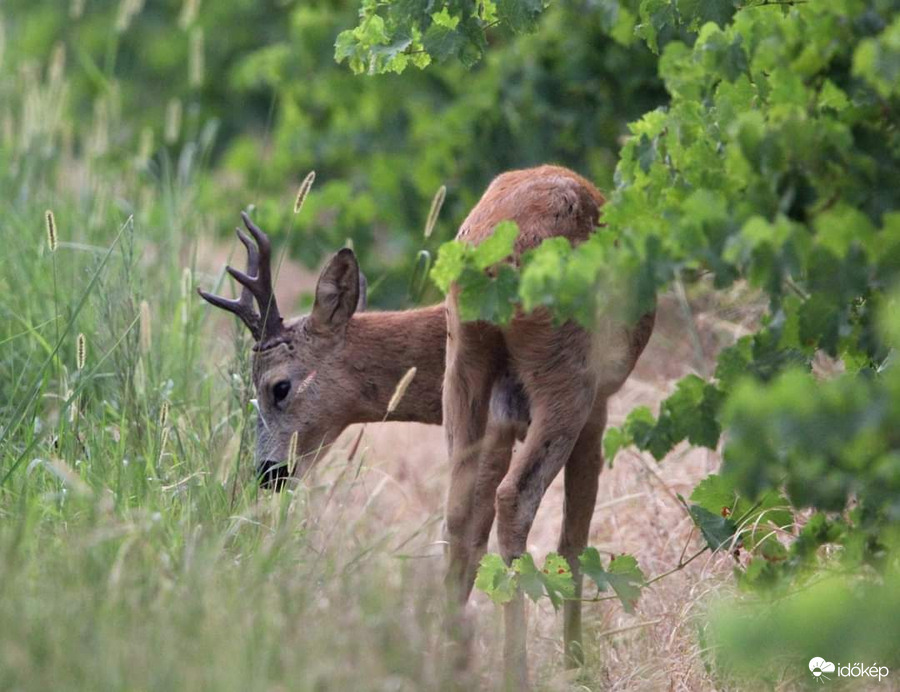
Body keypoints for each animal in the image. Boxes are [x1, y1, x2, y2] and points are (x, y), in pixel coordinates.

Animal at [199, 165, 652, 684]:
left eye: (278, 387)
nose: (267, 472)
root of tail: (496, 255)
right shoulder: (599, 407)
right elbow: (574, 540)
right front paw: (578, 668)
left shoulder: (502, 417)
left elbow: (476, 528)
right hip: (568, 375)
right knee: (516, 499)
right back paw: (517, 670)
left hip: (466, 371)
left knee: (458, 511)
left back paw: (455, 660)